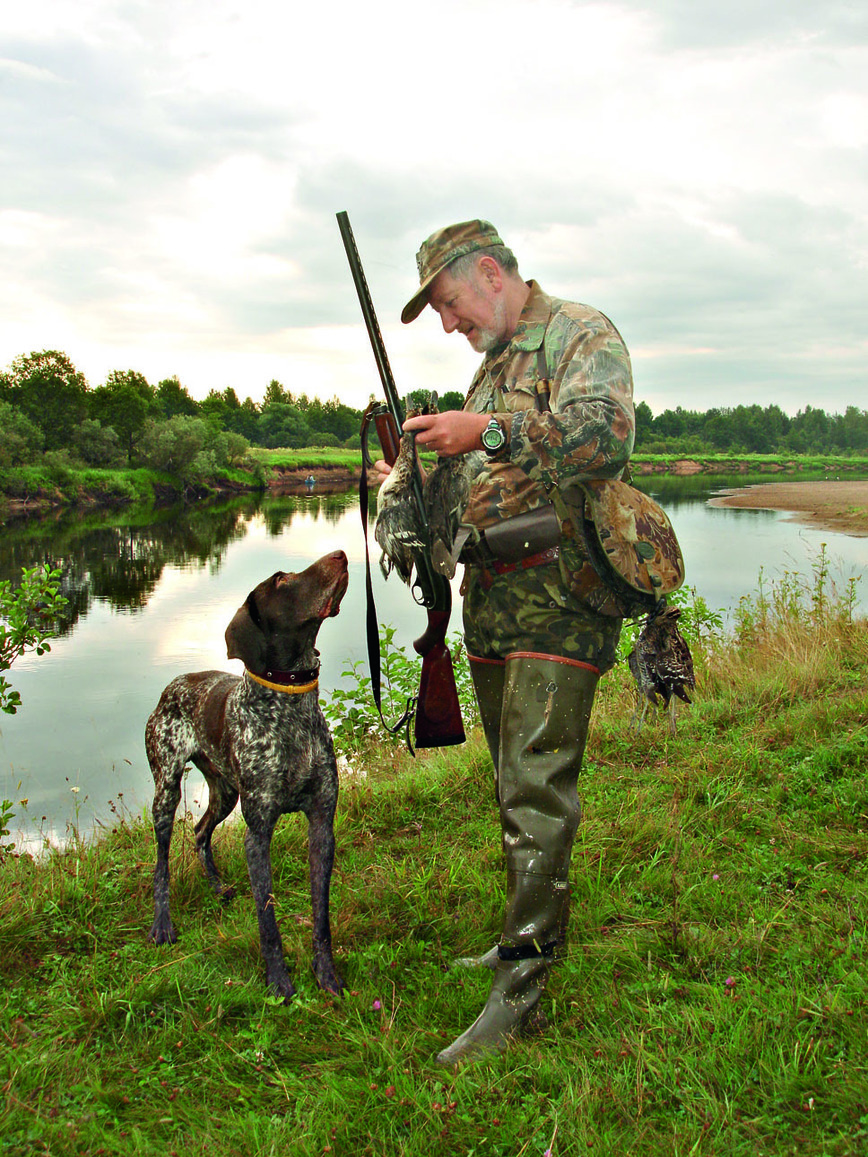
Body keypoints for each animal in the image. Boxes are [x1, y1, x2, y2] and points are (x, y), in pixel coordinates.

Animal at [146, 546, 349, 999]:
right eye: (280, 580)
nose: (342, 554)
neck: (290, 707)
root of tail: (174, 684)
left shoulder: (322, 823)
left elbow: (322, 913)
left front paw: (326, 974)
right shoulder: (258, 834)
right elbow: (267, 918)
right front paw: (279, 982)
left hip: (225, 793)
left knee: (200, 832)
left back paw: (217, 887)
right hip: (166, 790)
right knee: (162, 864)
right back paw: (162, 925)